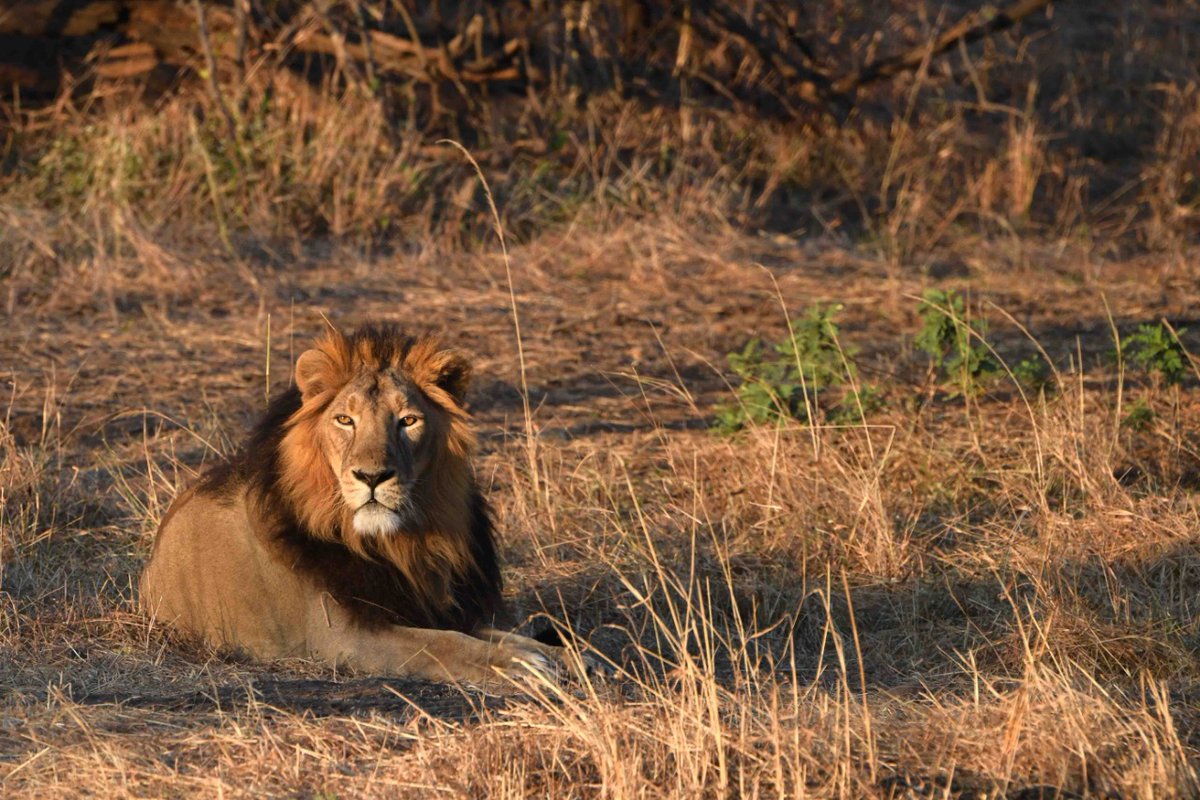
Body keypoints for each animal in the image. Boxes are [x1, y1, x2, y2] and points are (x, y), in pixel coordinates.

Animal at [140, 322, 581, 688]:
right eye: (345, 420)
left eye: (408, 421)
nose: (372, 477)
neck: (398, 543)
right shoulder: (345, 637)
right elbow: (443, 645)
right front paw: (518, 665)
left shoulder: (426, 605)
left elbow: (499, 635)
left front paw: (565, 656)